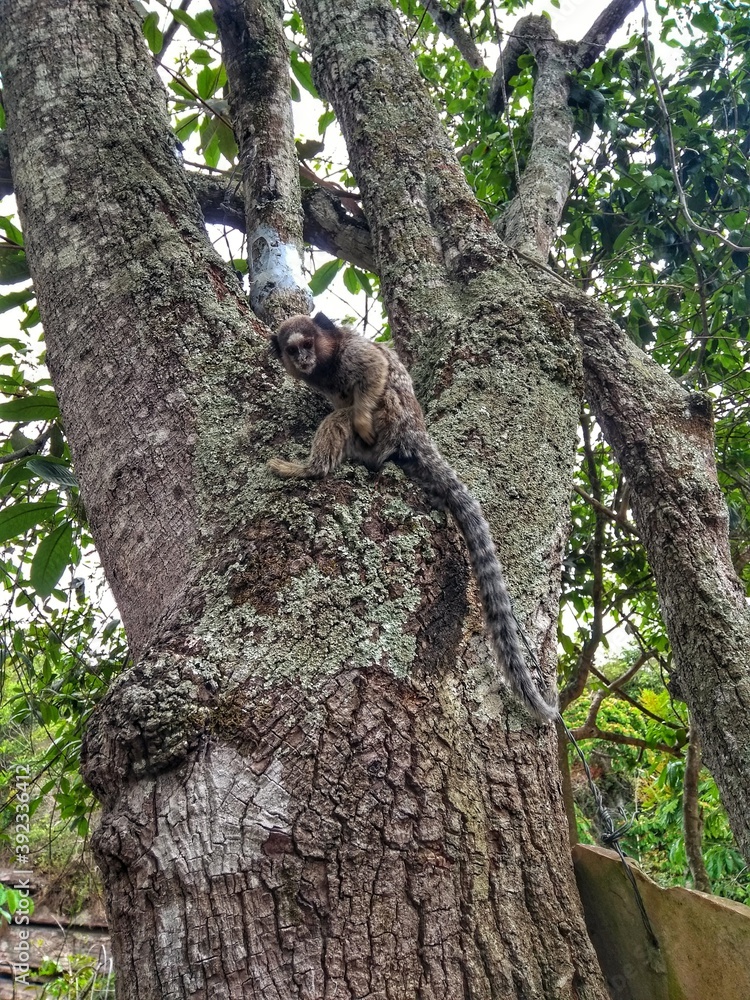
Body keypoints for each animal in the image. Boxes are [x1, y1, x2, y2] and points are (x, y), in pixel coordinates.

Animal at [268, 312, 558, 724]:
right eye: (293, 351)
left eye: (308, 344)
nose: (304, 358)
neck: (326, 366)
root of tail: (414, 434)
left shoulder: (354, 355)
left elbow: (375, 371)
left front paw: (359, 416)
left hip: (390, 423)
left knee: (344, 418)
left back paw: (309, 468)